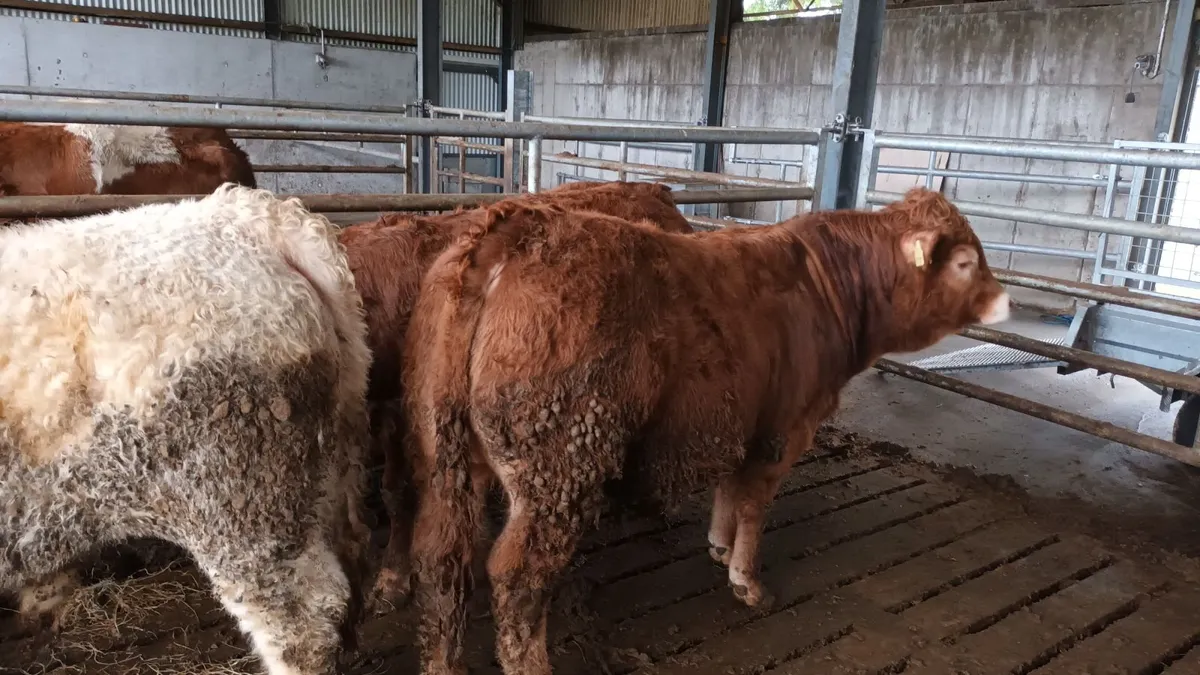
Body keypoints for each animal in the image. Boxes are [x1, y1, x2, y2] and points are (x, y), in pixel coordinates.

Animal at [403, 187, 1010, 675]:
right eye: (963, 262)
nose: (1006, 300)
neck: (824, 286)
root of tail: (514, 226)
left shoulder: (740, 420)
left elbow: (729, 489)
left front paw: (718, 545)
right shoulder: (784, 429)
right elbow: (753, 504)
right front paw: (747, 581)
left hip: (444, 457)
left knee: (440, 560)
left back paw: (442, 663)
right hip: (559, 470)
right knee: (517, 576)